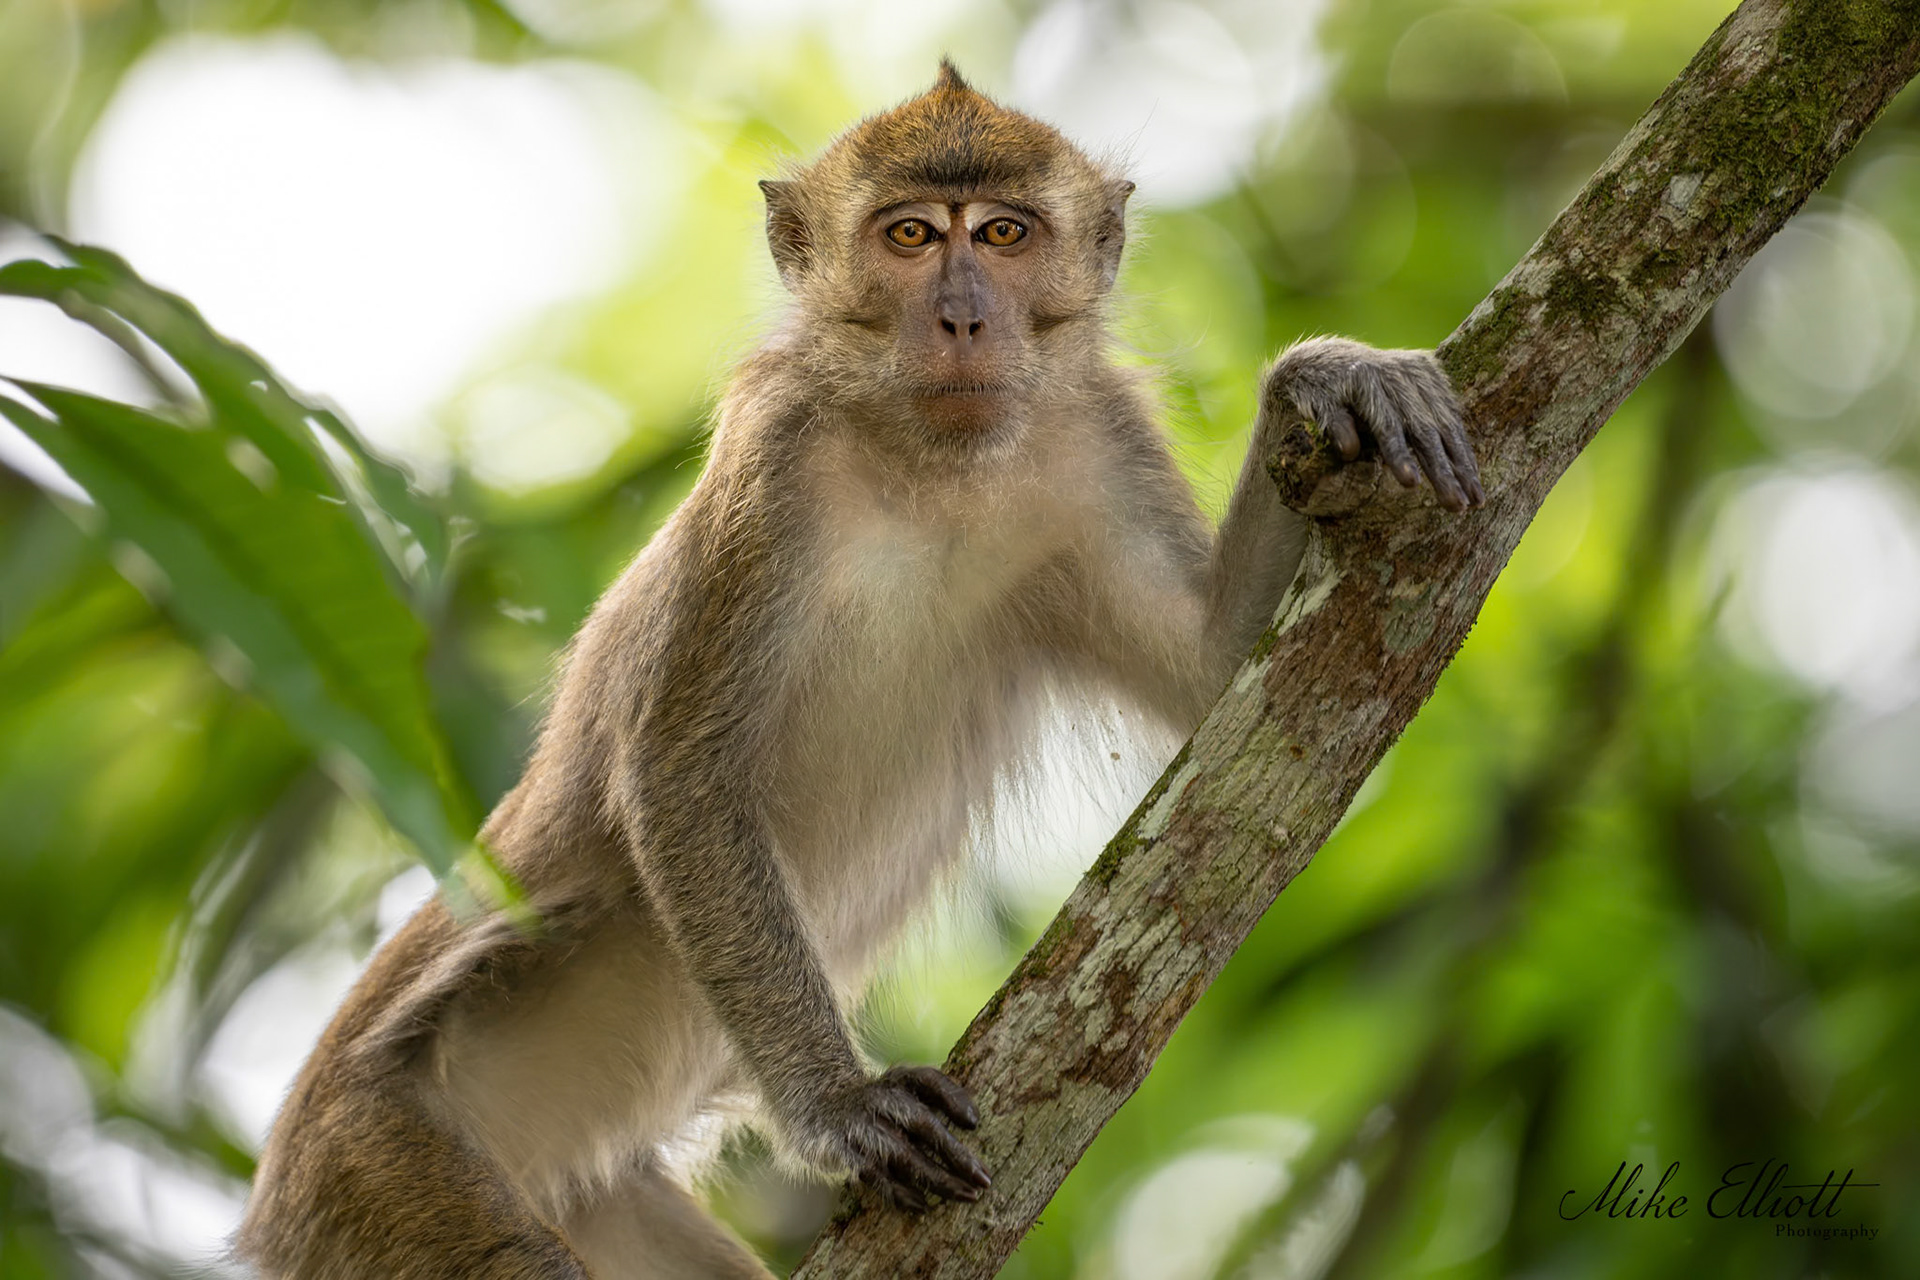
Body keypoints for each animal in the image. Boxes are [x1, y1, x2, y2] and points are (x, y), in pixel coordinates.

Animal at [234, 61, 1481, 1280]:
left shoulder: (1096, 436)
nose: (964, 315)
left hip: (593, 1195)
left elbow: (1222, 673)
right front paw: (837, 1103)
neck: (935, 464)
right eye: (913, 236)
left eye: (1007, 232)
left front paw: (1329, 377)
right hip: (371, 1156)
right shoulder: (774, 460)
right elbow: (679, 768)